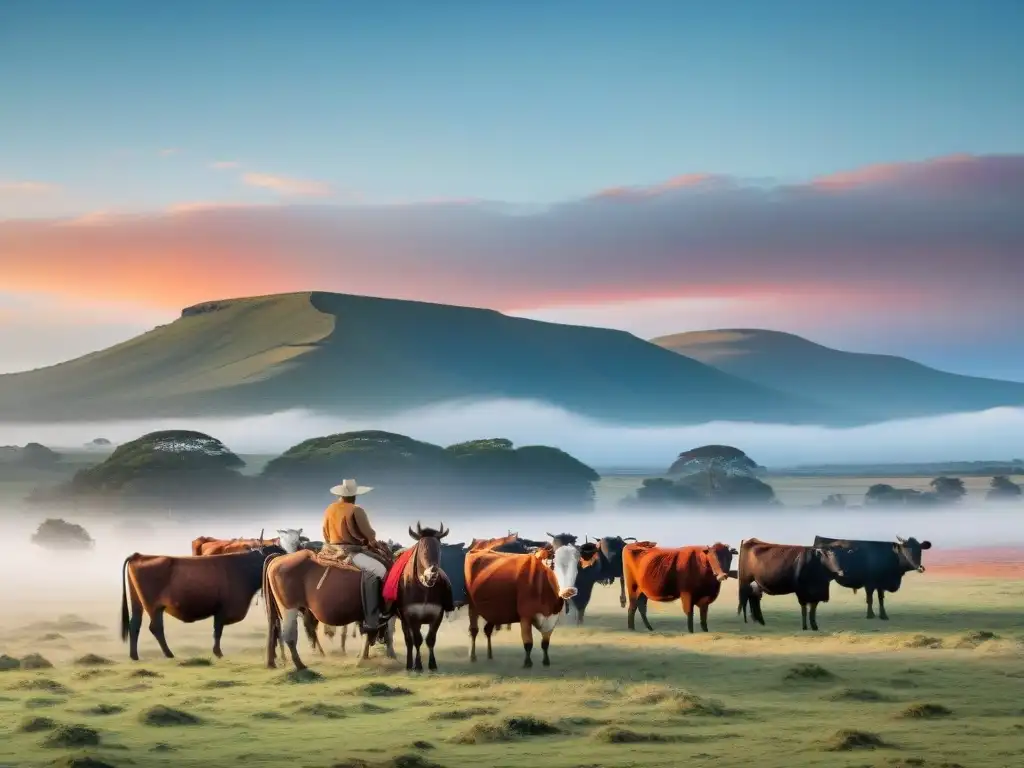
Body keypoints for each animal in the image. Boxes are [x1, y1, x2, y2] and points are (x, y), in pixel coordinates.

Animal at [119, 548, 284, 663]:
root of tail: (139, 555)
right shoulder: (221, 610)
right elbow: (218, 631)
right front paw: (218, 652)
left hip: (138, 602)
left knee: (135, 625)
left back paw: (134, 656)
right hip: (153, 606)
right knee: (156, 627)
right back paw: (169, 654)